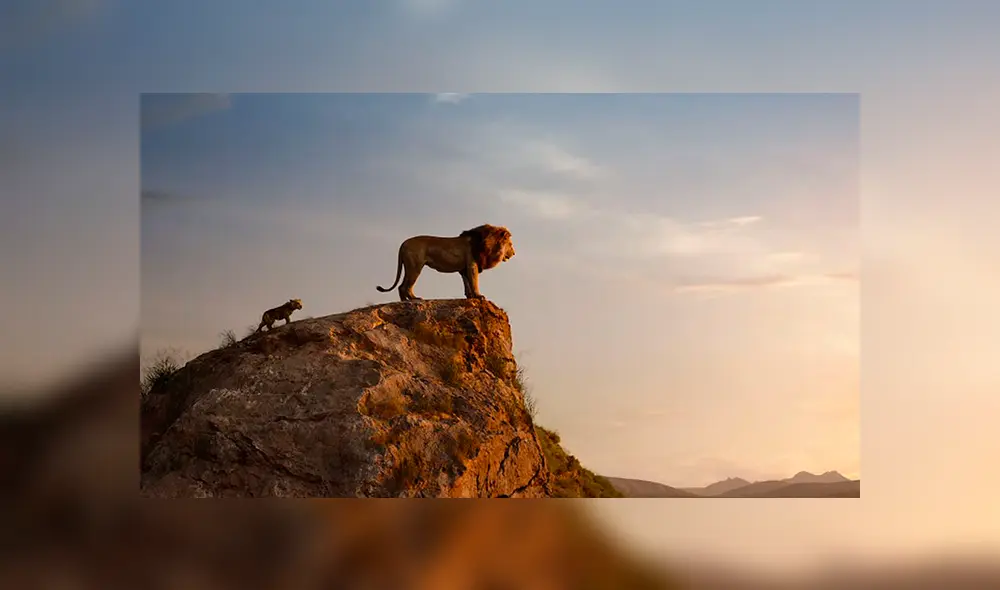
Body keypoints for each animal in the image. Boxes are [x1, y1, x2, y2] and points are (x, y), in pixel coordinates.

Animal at [376, 224, 515, 302]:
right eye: (510, 244)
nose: (514, 253)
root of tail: (403, 244)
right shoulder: (472, 264)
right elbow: (474, 281)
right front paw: (478, 296)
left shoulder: (464, 268)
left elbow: (467, 283)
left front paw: (470, 296)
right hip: (415, 267)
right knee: (406, 286)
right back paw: (414, 299)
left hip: (409, 266)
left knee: (401, 287)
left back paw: (404, 302)